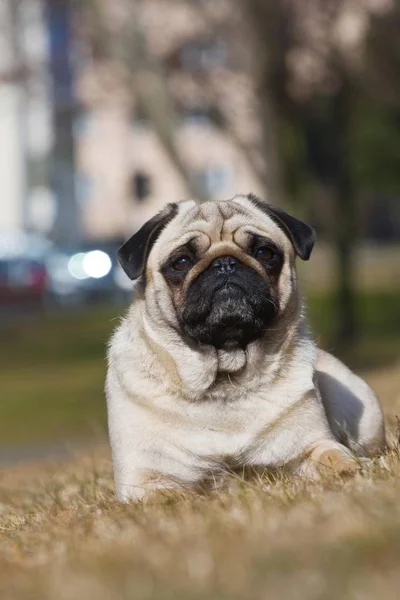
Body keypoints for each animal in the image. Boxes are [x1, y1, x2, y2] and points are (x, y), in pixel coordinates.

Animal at [105, 193, 384, 502]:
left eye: (264, 253)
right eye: (181, 261)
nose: (225, 263)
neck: (226, 380)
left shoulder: (314, 447)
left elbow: (336, 459)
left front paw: (354, 470)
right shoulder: (144, 481)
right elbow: (175, 496)